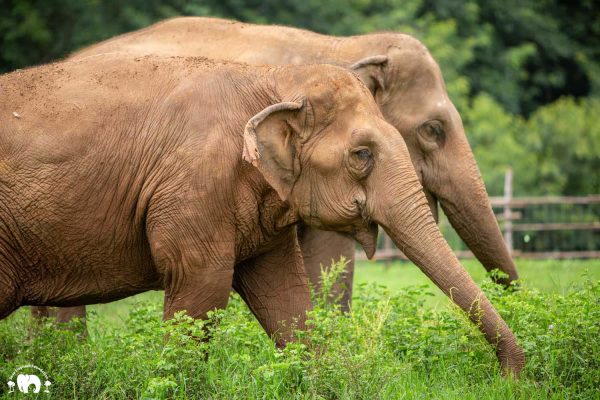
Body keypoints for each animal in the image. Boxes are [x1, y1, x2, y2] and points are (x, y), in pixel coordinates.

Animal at [0, 54, 524, 376]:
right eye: (361, 156)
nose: (514, 378)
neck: (271, 78)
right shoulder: (194, 187)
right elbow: (203, 288)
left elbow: (286, 299)